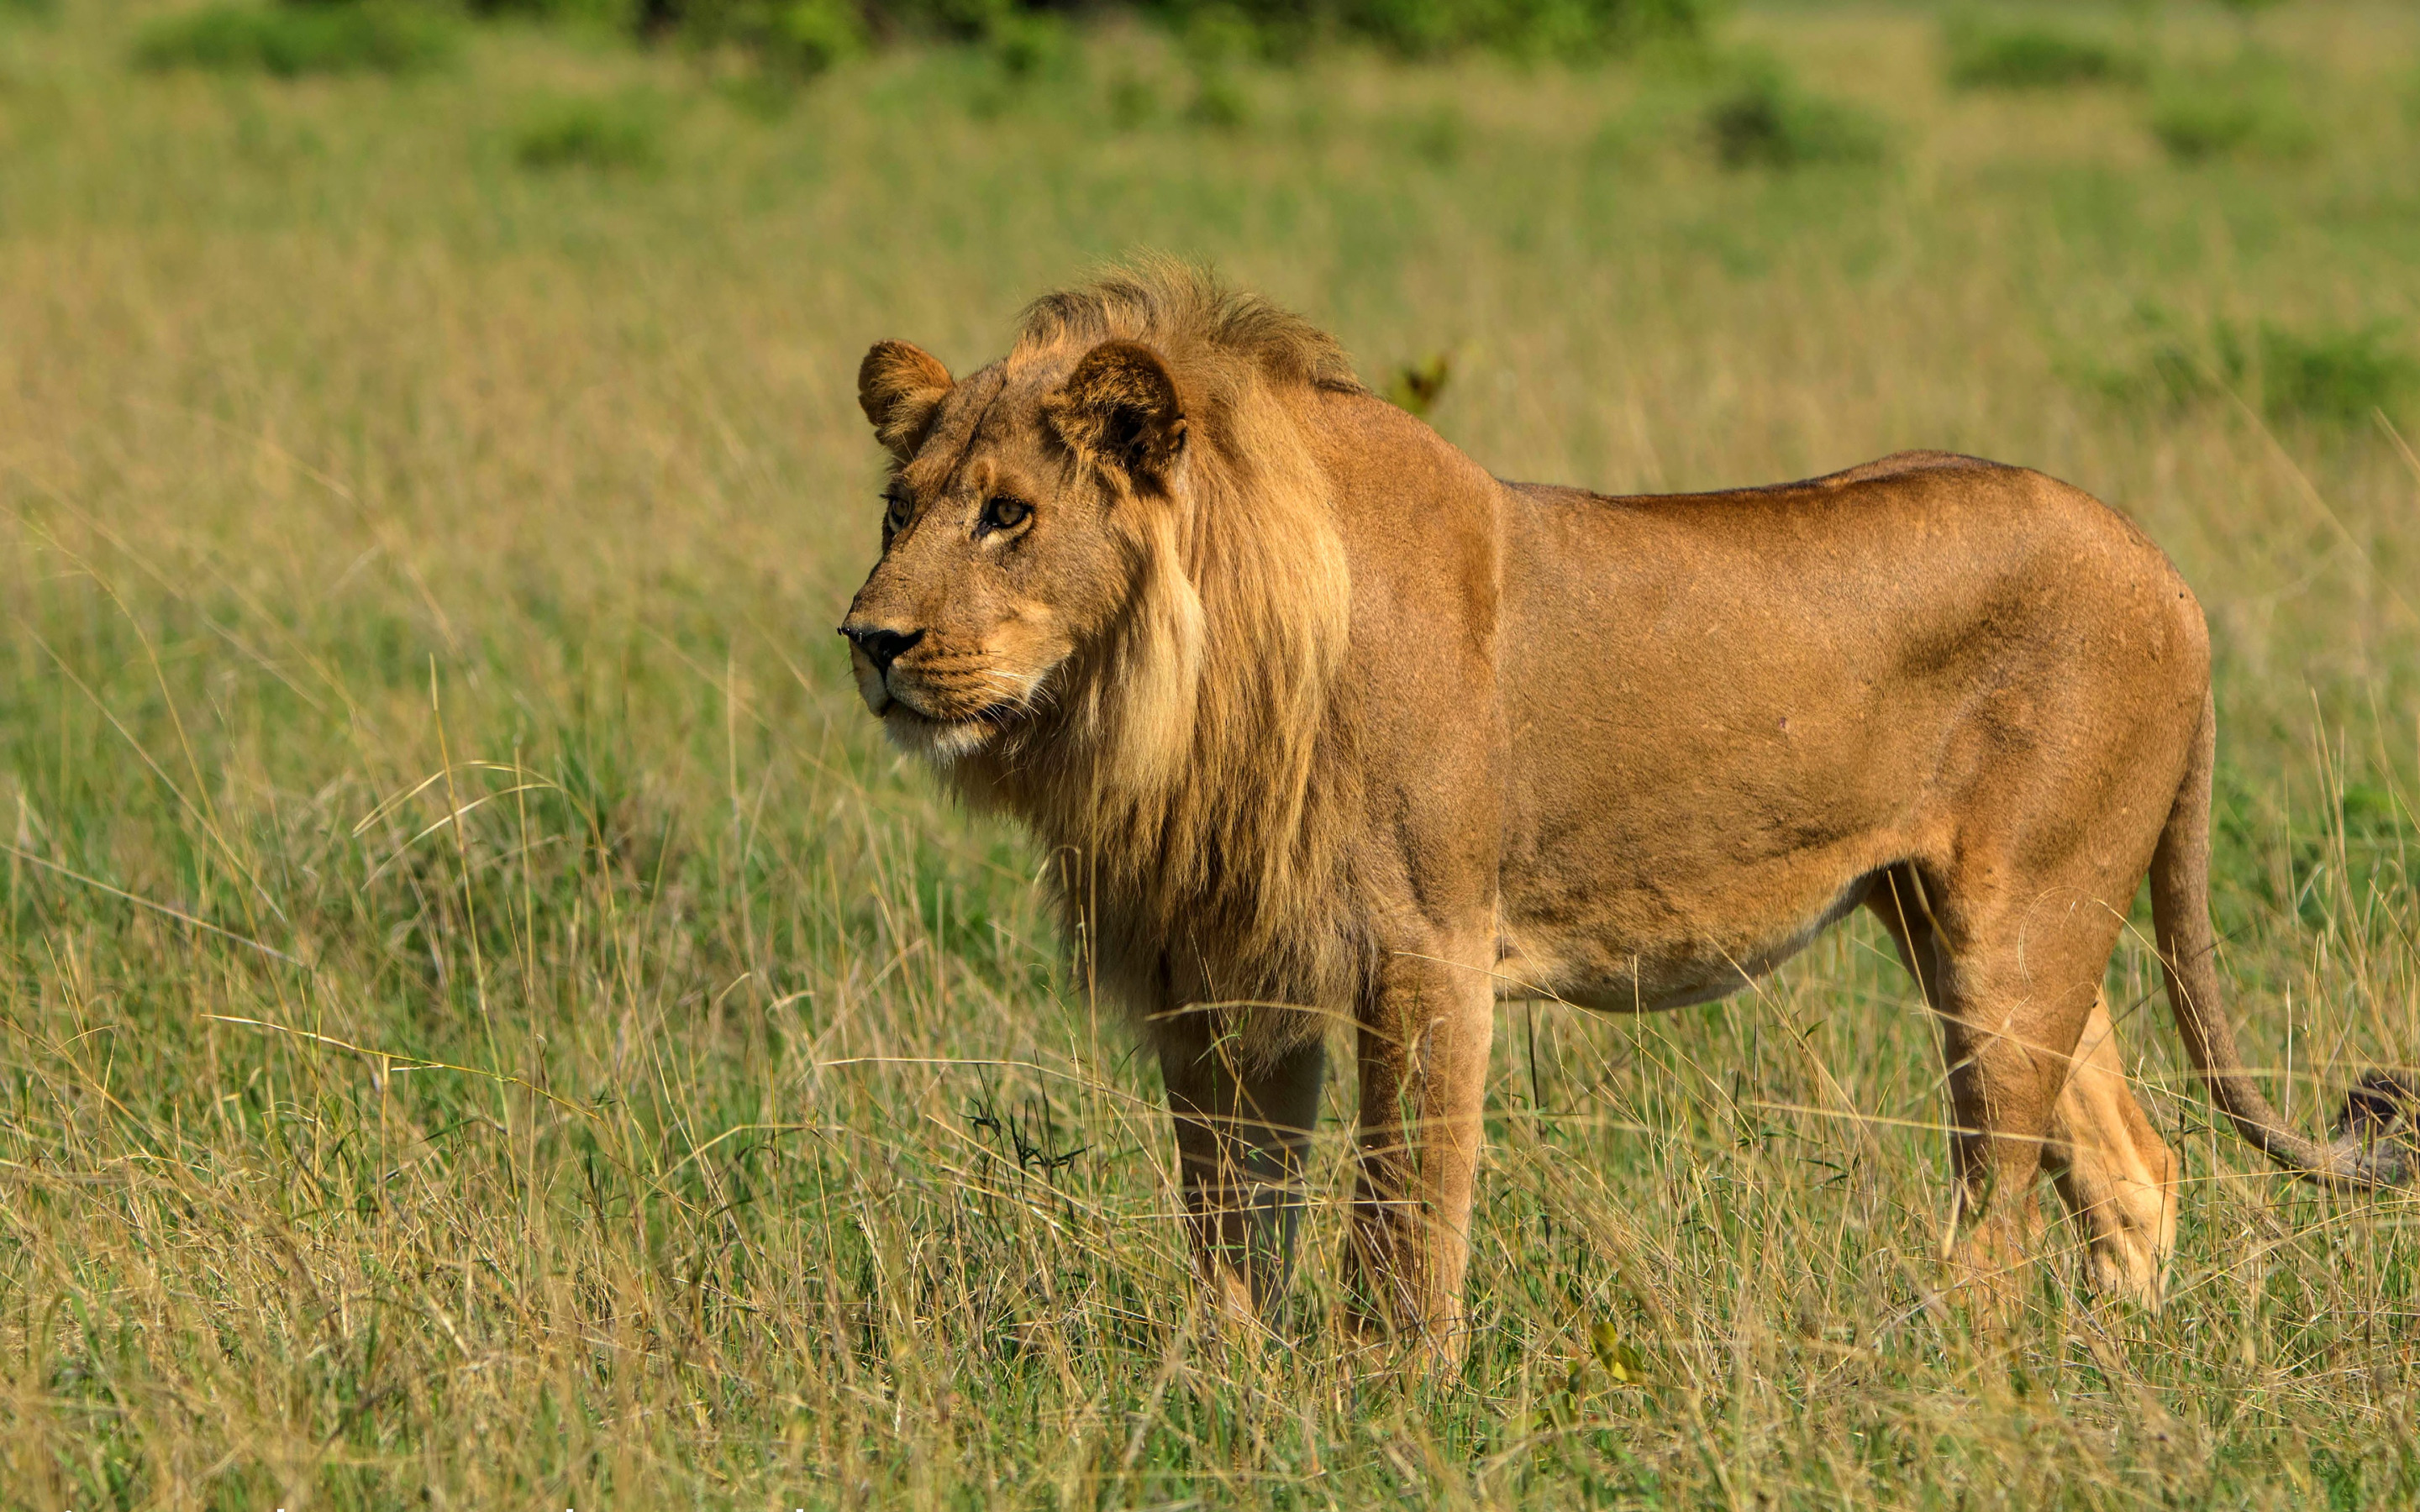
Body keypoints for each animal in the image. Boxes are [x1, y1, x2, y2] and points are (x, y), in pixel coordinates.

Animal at [842, 262, 2410, 1354]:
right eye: (898, 509)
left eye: (1008, 515)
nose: (868, 640)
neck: (1170, 694)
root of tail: (2163, 565)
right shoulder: (1225, 979)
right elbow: (1232, 1219)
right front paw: (1222, 1396)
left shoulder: (1425, 952)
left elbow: (1404, 1222)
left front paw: (1386, 1406)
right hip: (1967, 920)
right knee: (2130, 1164)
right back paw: (2110, 1379)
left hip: (2022, 924)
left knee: (2001, 1201)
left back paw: (1954, 1384)